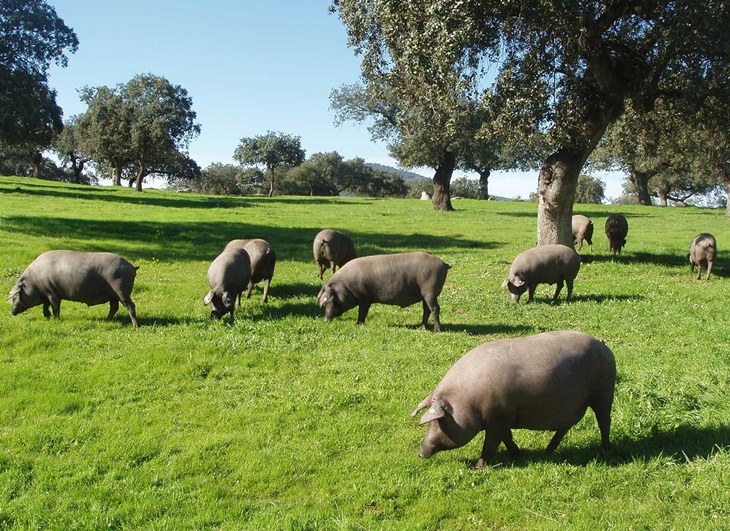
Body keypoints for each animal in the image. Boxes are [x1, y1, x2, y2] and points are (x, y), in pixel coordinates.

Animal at [7, 250, 139, 328]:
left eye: (17, 296)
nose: (11, 312)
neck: (34, 282)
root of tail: (131, 266)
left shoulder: (52, 293)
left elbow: (55, 306)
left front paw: (56, 319)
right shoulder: (47, 293)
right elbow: (46, 305)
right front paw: (47, 317)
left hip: (121, 290)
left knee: (130, 305)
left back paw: (135, 326)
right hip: (113, 295)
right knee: (114, 307)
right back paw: (106, 320)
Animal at [314, 252, 450, 332]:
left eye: (332, 300)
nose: (326, 320)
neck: (348, 286)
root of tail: (443, 264)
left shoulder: (365, 298)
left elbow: (362, 312)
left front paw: (357, 324)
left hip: (430, 291)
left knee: (435, 309)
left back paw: (436, 330)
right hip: (424, 295)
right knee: (426, 309)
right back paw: (421, 328)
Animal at [412, 332, 612, 470]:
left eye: (440, 421)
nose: (420, 454)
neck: (469, 402)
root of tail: (602, 344)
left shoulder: (498, 419)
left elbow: (491, 444)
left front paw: (478, 468)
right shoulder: (503, 418)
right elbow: (507, 438)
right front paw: (518, 454)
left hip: (604, 393)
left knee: (604, 421)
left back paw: (605, 449)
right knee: (564, 428)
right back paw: (547, 451)